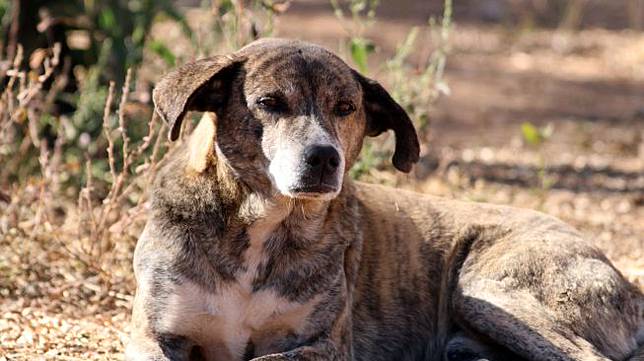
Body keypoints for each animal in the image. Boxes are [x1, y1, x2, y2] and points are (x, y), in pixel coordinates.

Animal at [126, 38, 644, 358]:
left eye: (345, 107)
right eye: (270, 103)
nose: (324, 157)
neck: (263, 226)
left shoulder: (325, 347)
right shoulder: (153, 337)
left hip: (489, 291)